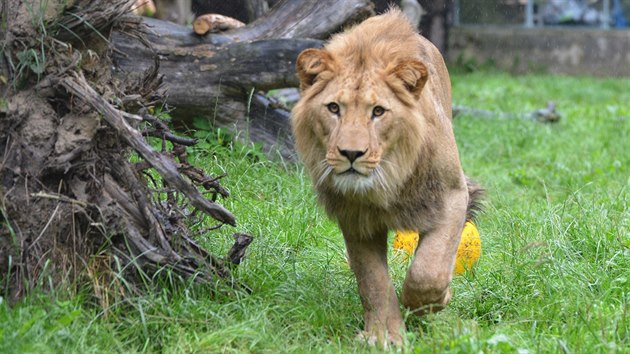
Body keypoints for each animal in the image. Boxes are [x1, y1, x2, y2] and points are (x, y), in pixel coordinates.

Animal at [292, 7, 484, 346]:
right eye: (333, 108)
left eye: (378, 111)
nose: (351, 153)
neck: (386, 181)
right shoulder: (354, 217)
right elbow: (374, 281)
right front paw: (383, 336)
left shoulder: (452, 194)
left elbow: (427, 271)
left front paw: (430, 302)